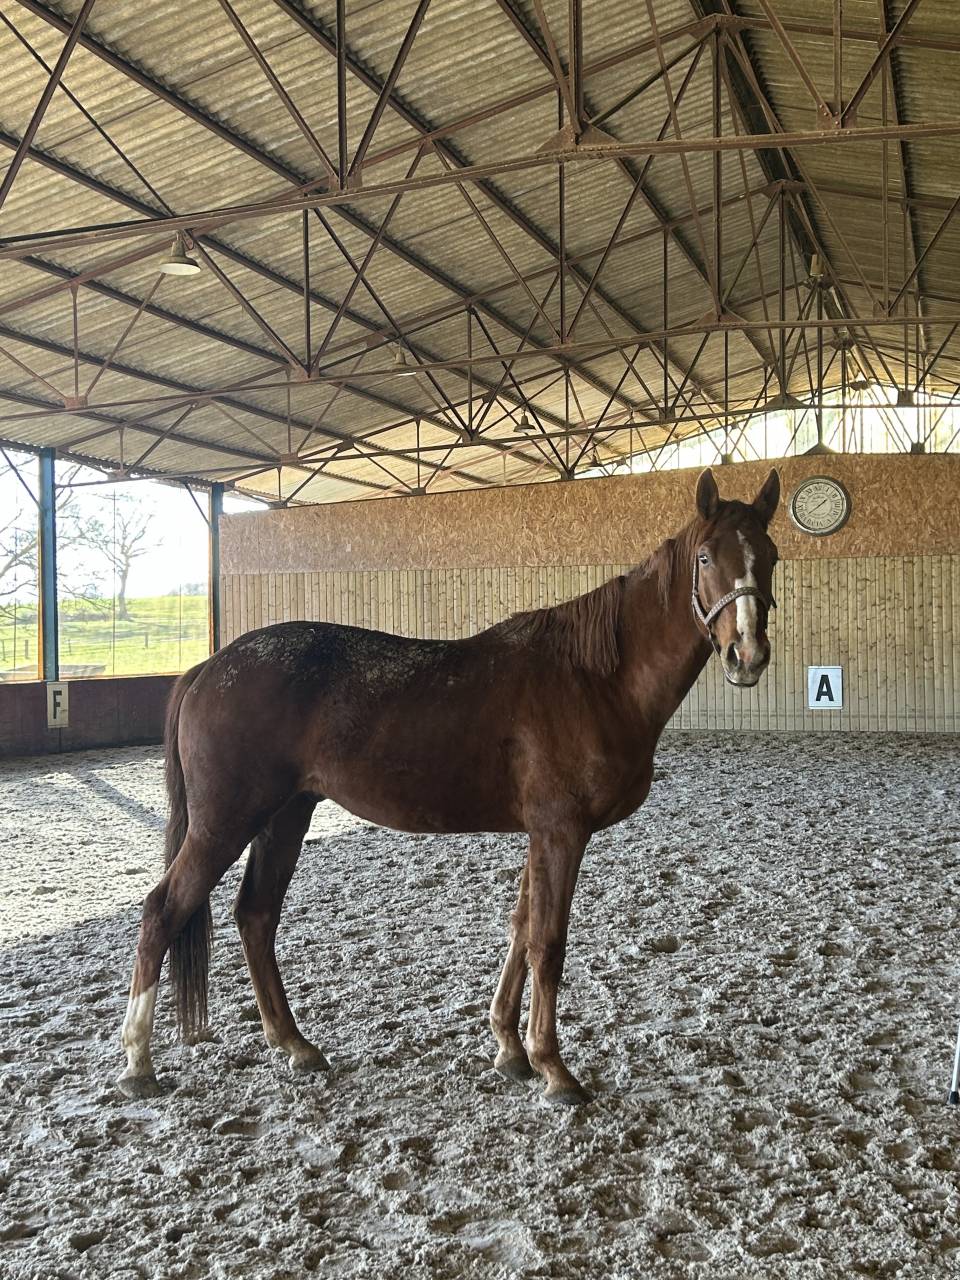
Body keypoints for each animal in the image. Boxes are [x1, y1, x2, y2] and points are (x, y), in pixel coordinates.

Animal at [118, 467, 780, 1106]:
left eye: (770, 555)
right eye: (704, 557)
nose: (747, 655)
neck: (593, 679)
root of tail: (210, 667)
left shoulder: (541, 833)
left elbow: (521, 929)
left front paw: (511, 1051)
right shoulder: (561, 831)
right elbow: (548, 942)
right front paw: (554, 1070)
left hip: (285, 816)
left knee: (256, 916)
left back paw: (296, 1046)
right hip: (225, 823)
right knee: (162, 911)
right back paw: (138, 1065)